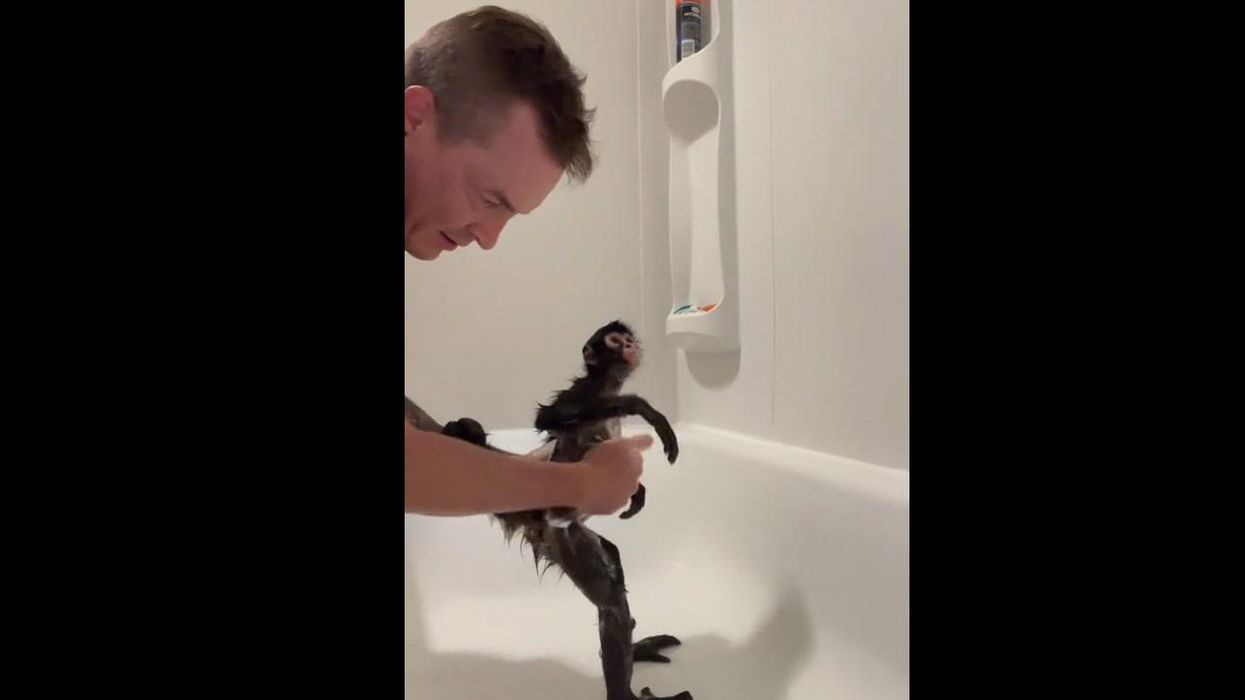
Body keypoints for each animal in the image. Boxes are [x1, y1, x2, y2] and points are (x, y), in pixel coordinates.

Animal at [425, 320, 691, 700]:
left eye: (626, 338)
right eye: (614, 340)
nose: (628, 345)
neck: (606, 388)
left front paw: (637, 493)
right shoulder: (581, 393)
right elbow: (548, 415)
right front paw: (644, 408)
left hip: (569, 536)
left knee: (613, 565)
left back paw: (636, 648)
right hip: (563, 537)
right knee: (611, 604)